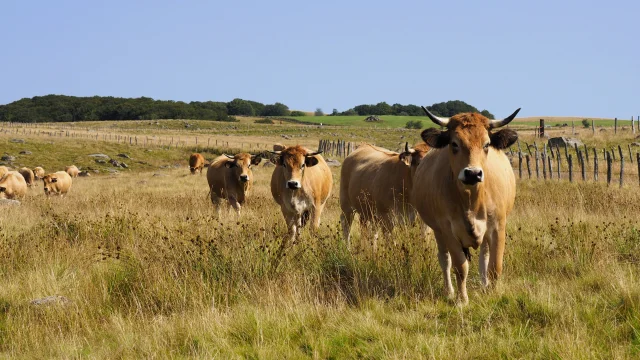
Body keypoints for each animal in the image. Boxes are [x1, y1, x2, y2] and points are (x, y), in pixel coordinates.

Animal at [412, 106, 524, 304]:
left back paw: (484, 285)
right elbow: (460, 266)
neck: (472, 201)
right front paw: (461, 299)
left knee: (484, 256)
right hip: (437, 231)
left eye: (486, 145)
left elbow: (495, 266)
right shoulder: (448, 230)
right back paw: (449, 291)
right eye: (454, 144)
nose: (473, 173)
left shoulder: (498, 227)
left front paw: (493, 293)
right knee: (444, 260)